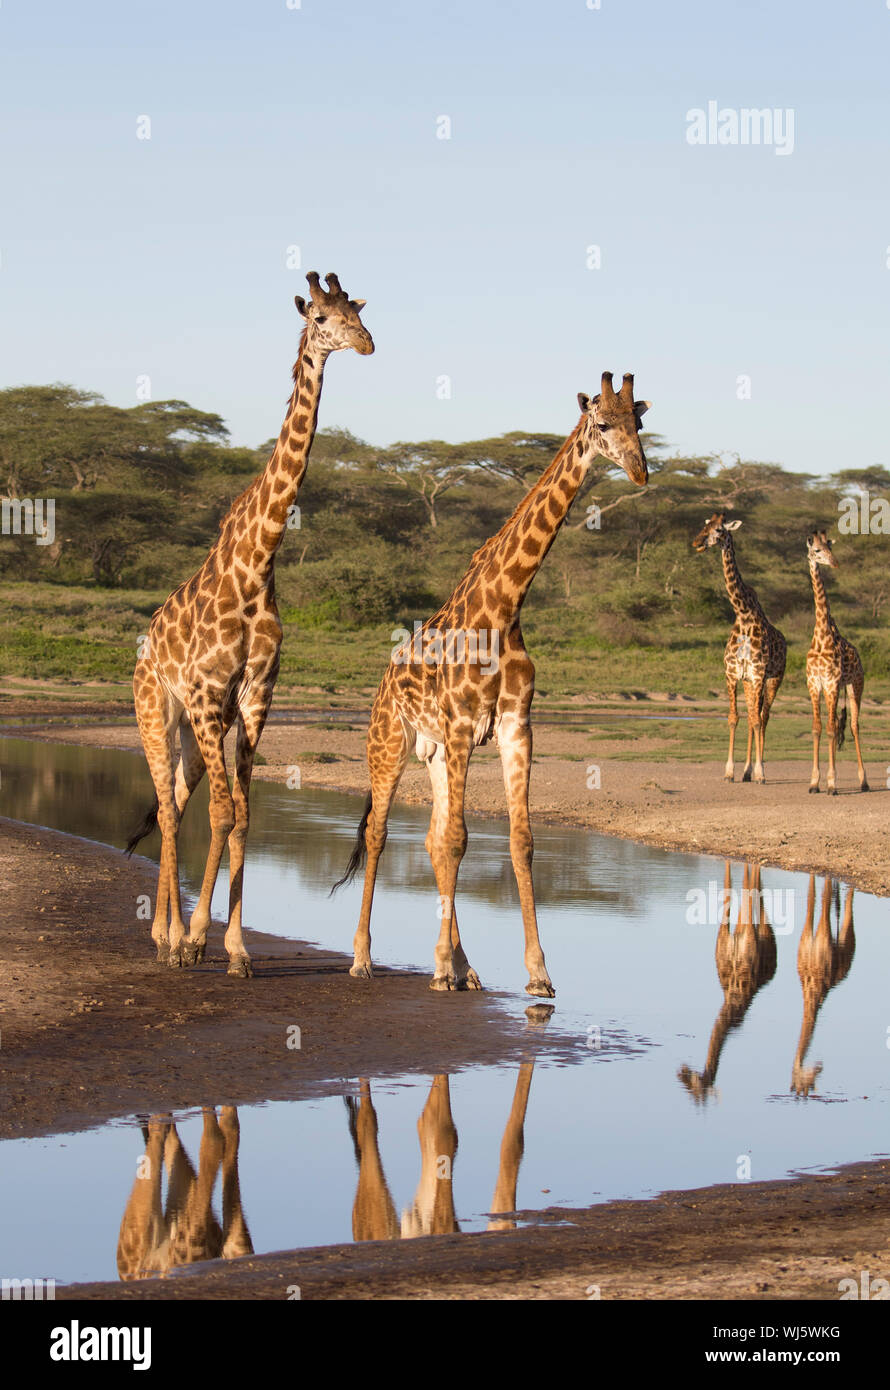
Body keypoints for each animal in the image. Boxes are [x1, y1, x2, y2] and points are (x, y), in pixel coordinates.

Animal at [126, 273, 373, 976]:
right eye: (321, 317)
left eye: (355, 311)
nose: (367, 343)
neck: (258, 561)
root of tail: (143, 648)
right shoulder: (212, 695)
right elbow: (221, 812)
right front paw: (195, 941)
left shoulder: (256, 697)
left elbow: (242, 816)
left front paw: (235, 949)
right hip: (159, 713)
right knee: (169, 805)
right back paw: (166, 940)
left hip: (190, 729)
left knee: (177, 802)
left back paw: (165, 935)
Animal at [333, 372, 651, 996]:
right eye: (603, 423)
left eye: (641, 424)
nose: (641, 472)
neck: (504, 607)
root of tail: (383, 680)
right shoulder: (461, 726)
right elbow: (459, 840)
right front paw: (437, 970)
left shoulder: (513, 727)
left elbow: (518, 841)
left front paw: (538, 973)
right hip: (391, 743)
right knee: (382, 833)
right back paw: (363, 958)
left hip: (433, 753)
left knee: (432, 839)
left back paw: (464, 966)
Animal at [678, 861, 777, 1103]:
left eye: (697, 1092)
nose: (681, 1072)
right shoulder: (726, 931)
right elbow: (728, 891)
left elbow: (746, 889)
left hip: (761, 931)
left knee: (757, 898)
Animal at [692, 513, 786, 783]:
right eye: (705, 526)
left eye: (719, 530)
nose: (697, 542)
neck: (743, 615)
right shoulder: (733, 674)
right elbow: (734, 718)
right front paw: (730, 771)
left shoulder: (757, 674)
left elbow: (756, 720)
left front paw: (760, 772)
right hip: (749, 682)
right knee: (753, 716)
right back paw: (746, 771)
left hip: (773, 678)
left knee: (763, 717)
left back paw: (758, 769)